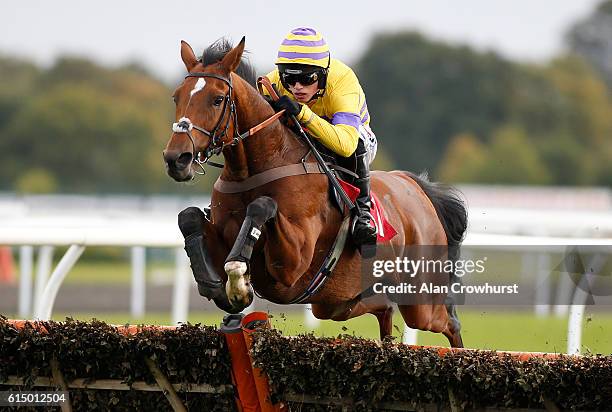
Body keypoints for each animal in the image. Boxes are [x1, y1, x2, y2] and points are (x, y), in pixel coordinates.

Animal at [164, 37, 468, 346]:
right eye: (177, 97)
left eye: (217, 99)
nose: (177, 159)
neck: (255, 169)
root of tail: (416, 186)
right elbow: (189, 216)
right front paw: (217, 285)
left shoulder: (292, 264)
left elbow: (262, 207)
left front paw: (239, 283)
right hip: (337, 301)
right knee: (383, 307)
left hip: (419, 299)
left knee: (448, 321)